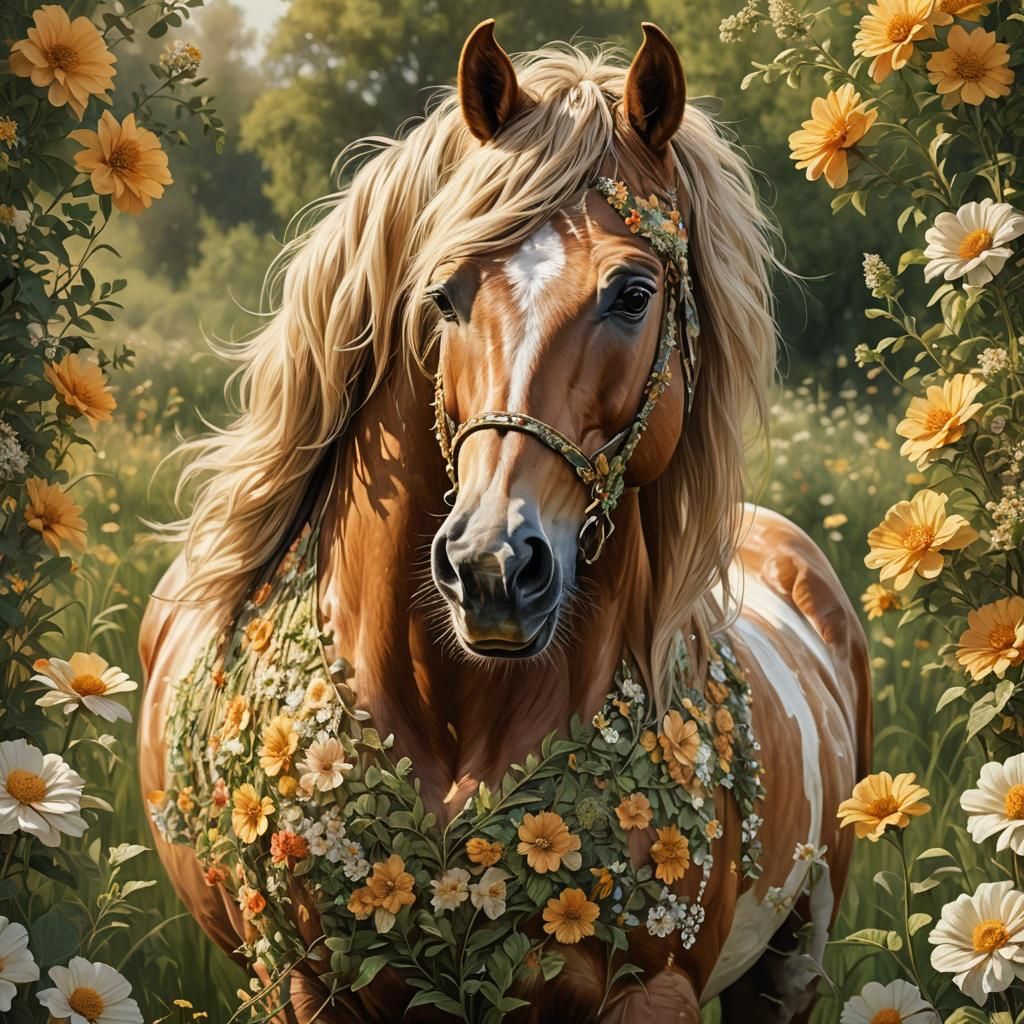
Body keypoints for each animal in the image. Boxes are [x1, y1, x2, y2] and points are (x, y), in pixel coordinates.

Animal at [138, 21, 871, 1024]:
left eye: (633, 294)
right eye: (445, 293)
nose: (491, 569)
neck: (453, 720)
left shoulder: (656, 994)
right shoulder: (302, 987)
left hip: (791, 967)